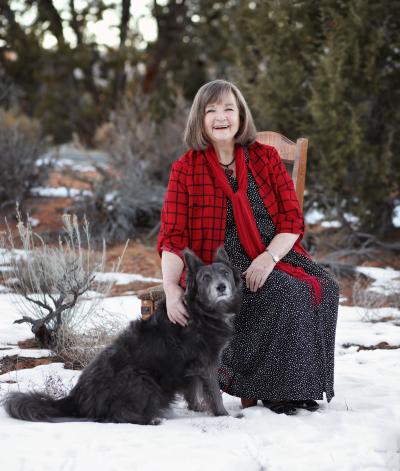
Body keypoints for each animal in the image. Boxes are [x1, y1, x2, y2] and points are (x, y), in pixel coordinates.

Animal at [3, 249, 241, 426]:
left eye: (225, 273)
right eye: (205, 278)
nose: (221, 287)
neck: (200, 312)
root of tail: (76, 398)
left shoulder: (193, 368)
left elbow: (194, 391)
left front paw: (198, 409)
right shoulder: (206, 363)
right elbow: (214, 392)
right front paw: (224, 415)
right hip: (142, 380)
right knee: (114, 416)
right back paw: (151, 419)